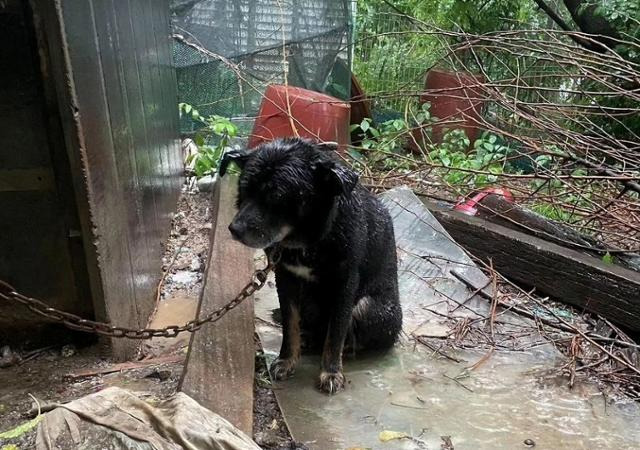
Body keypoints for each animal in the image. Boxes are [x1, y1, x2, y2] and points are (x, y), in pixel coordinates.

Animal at [220, 138, 400, 394]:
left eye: (277, 196)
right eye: (244, 189)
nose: (234, 229)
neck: (307, 242)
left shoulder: (345, 284)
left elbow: (336, 332)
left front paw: (331, 372)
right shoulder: (286, 277)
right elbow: (290, 324)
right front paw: (287, 360)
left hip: (369, 307)